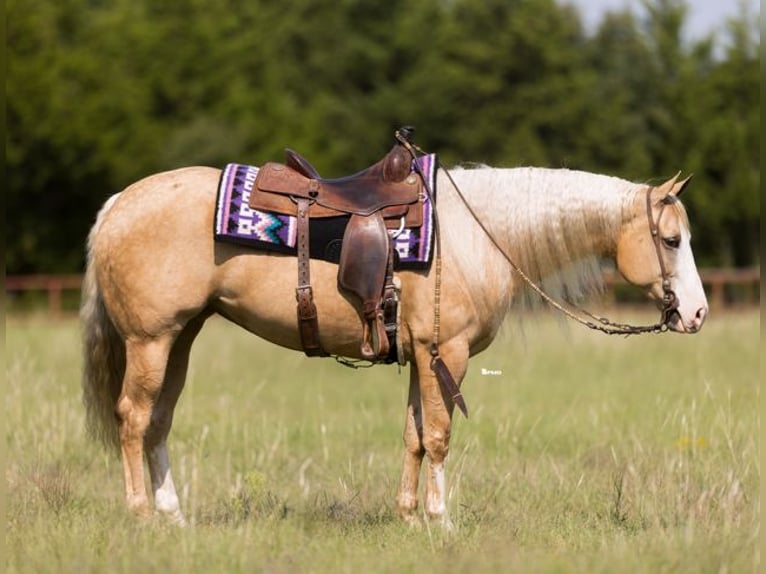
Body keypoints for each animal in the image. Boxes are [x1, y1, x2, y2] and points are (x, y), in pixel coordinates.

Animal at [80, 163, 708, 527]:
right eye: (671, 240)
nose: (697, 313)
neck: (475, 236)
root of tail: (117, 203)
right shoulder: (447, 354)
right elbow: (439, 437)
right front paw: (441, 518)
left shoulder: (419, 357)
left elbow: (413, 437)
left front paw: (407, 517)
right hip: (150, 340)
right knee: (133, 418)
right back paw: (140, 514)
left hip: (180, 338)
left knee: (159, 422)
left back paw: (173, 515)